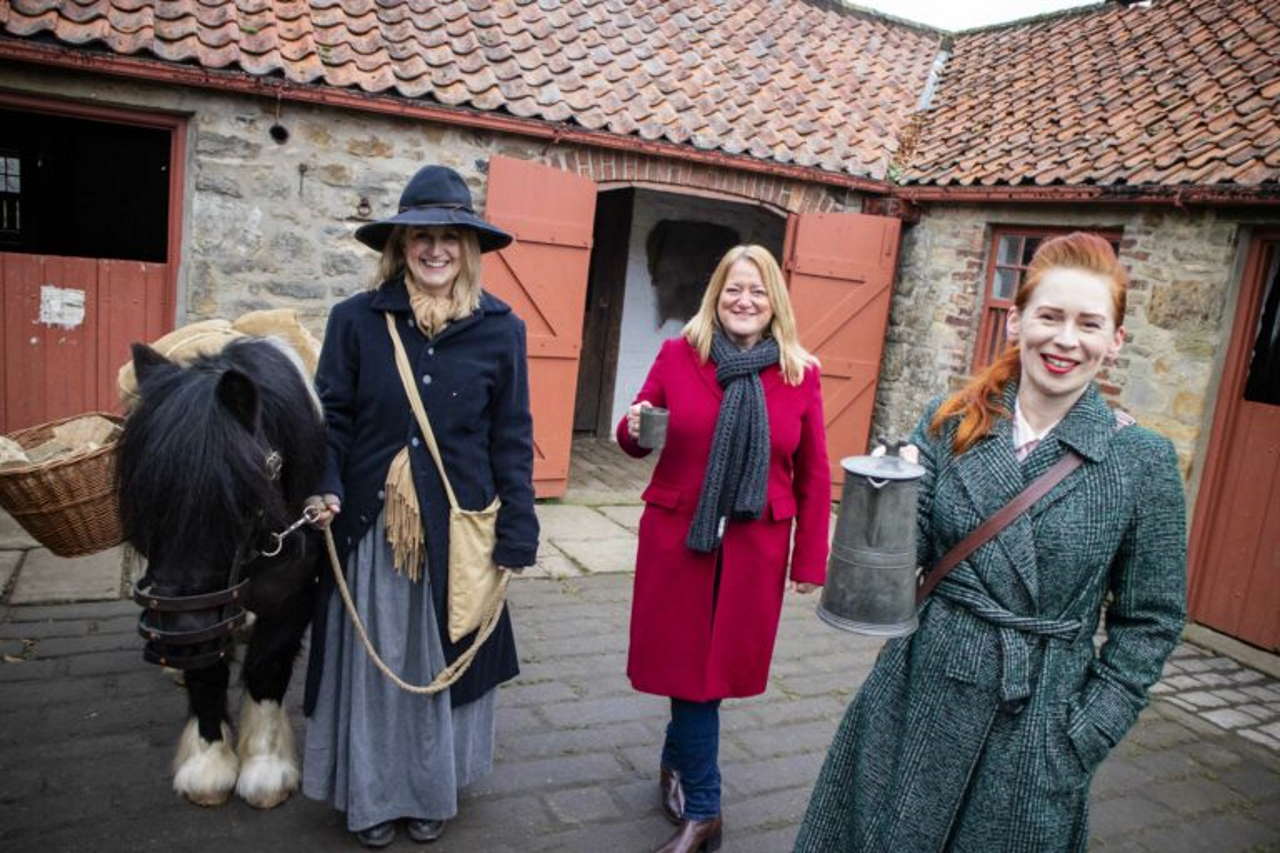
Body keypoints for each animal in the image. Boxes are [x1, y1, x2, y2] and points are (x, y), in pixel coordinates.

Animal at [120, 335, 325, 809]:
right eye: (144, 494)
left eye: (241, 497)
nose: (178, 637)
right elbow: (207, 668)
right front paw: (209, 763)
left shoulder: (295, 592)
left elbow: (267, 665)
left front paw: (265, 769)